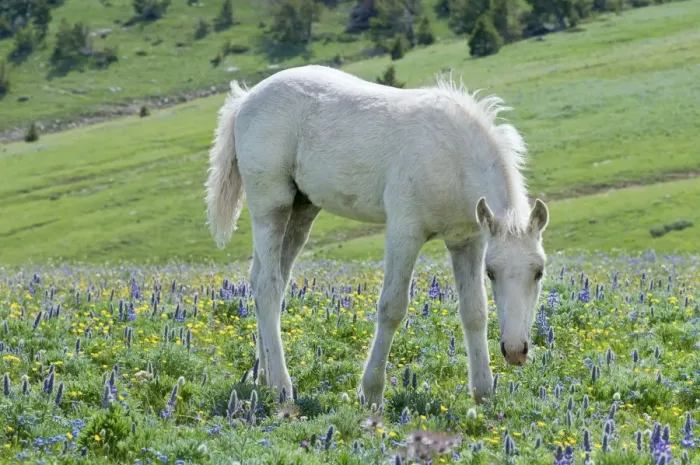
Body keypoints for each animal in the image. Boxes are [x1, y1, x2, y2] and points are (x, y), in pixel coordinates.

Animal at [204, 64, 549, 406]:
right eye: (492, 273)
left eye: (539, 272)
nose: (516, 351)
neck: (452, 156)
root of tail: (246, 99)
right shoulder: (404, 232)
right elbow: (392, 307)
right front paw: (370, 391)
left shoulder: (467, 241)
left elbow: (474, 311)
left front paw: (484, 392)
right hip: (271, 207)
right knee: (268, 286)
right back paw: (281, 387)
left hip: (301, 211)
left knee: (261, 278)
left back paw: (261, 376)